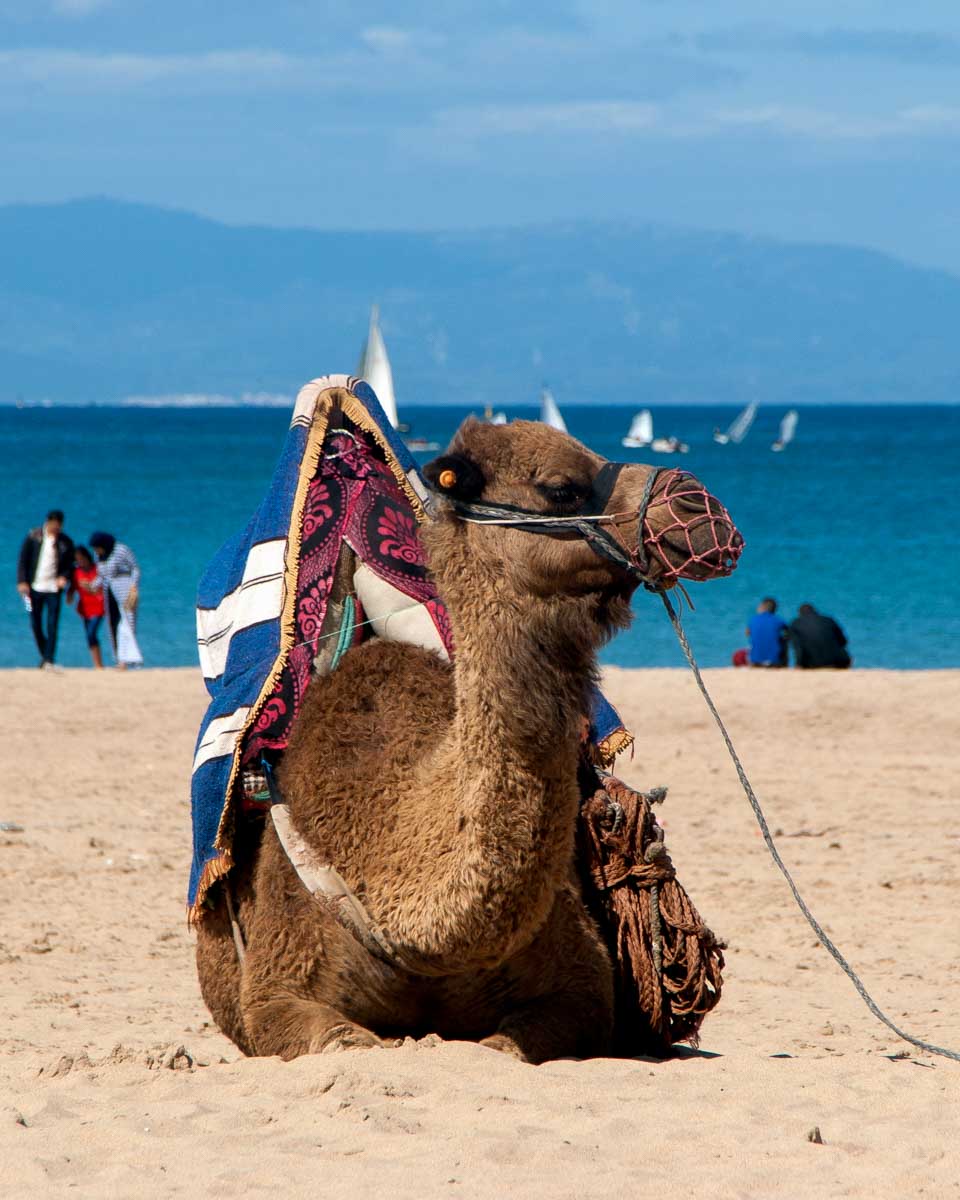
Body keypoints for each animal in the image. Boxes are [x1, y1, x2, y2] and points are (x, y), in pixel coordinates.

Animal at [196, 417, 737, 1063]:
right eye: (561, 488)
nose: (701, 510)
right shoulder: (276, 991)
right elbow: (339, 1038)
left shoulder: (583, 989)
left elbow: (511, 1043)